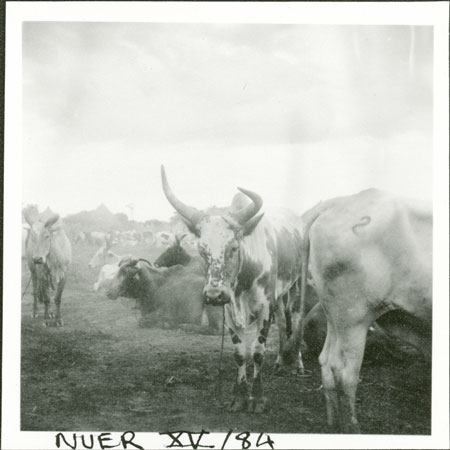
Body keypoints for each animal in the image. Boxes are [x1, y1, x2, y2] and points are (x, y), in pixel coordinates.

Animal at [160, 165, 304, 412]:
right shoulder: (230, 309)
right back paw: (279, 362)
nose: (214, 294)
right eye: (201, 249)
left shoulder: (264, 307)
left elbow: (257, 352)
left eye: (234, 247)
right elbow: (239, 353)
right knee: (283, 320)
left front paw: (257, 398)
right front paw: (239, 396)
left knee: (294, 319)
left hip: (298, 284)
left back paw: (297, 364)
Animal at [298, 189, 430, 432]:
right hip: (355, 316)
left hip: (334, 315)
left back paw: (334, 424)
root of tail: (337, 202)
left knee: (326, 362)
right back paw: (352, 426)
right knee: (345, 371)